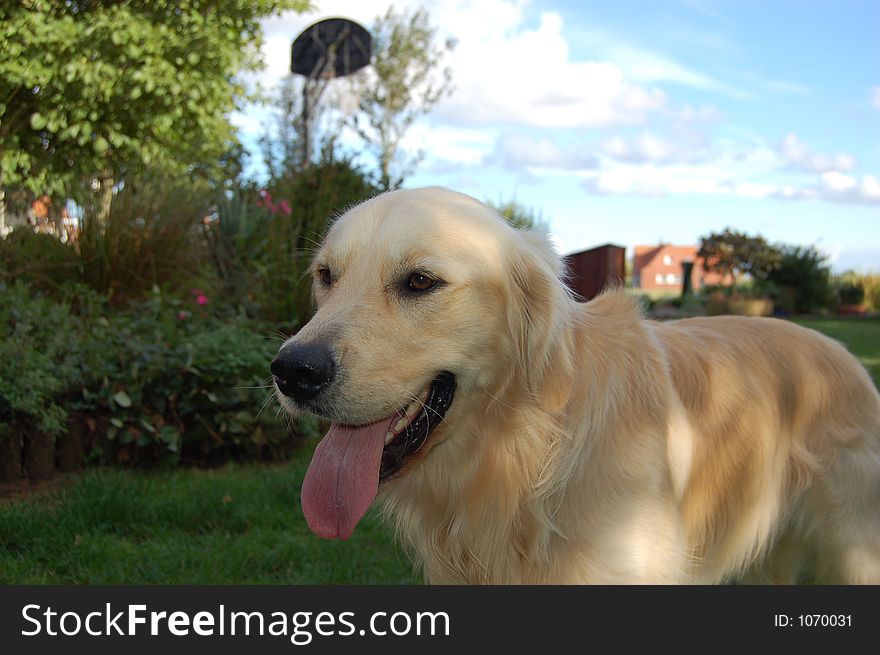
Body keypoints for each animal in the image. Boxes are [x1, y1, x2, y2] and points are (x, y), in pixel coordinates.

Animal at [272, 187, 880, 588]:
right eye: (326, 276)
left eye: (420, 281)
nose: (291, 370)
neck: (521, 455)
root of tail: (846, 357)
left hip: (855, 554)